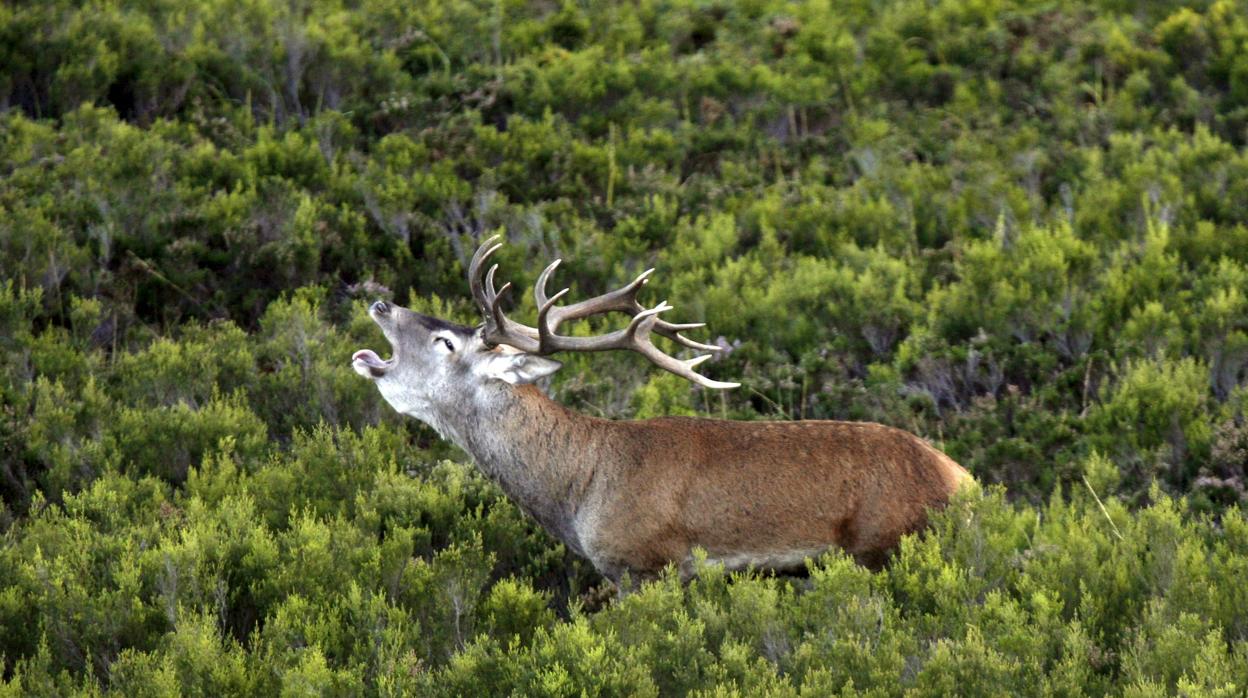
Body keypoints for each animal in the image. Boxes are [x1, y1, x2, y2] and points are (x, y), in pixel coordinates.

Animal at [351, 237, 973, 586]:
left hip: (882, 546)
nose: (380, 302)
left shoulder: (647, 563)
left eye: (446, 343)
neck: (580, 487)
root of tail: (963, 480)